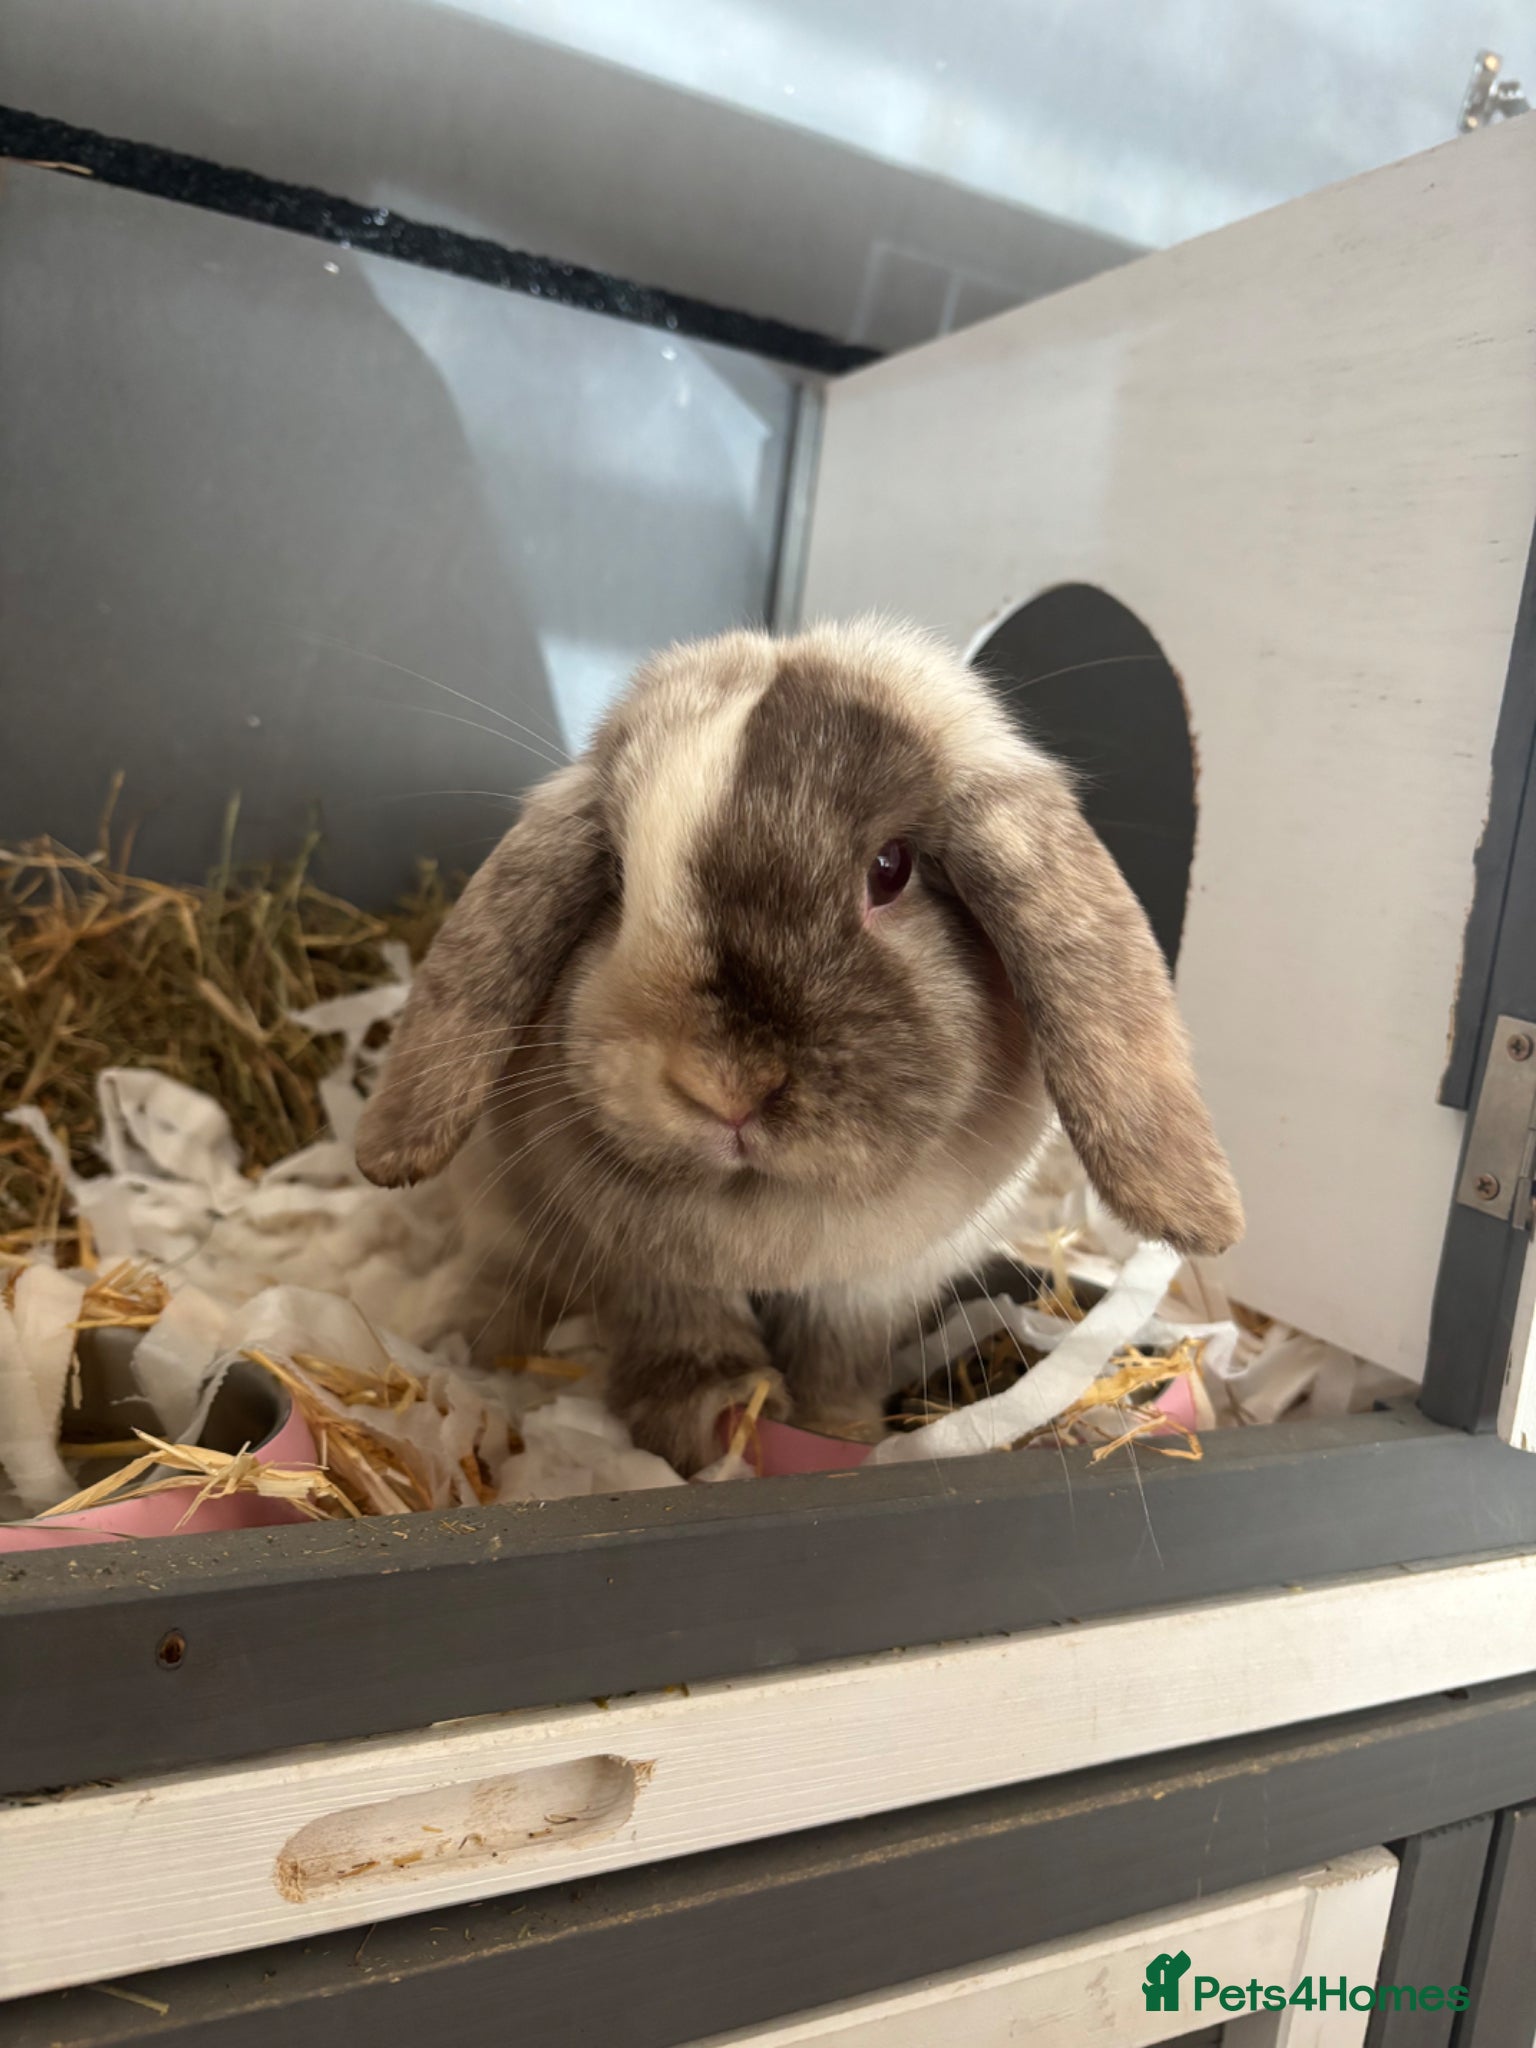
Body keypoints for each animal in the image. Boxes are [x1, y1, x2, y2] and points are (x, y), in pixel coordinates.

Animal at [355, 619, 1242, 1474]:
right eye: (616, 880)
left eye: (891, 867)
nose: (722, 1086)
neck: (767, 1210)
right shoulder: (654, 1272)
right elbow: (687, 1343)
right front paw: (708, 1423)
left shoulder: (868, 1287)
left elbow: (837, 1362)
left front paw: (837, 1431)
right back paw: (463, 1343)